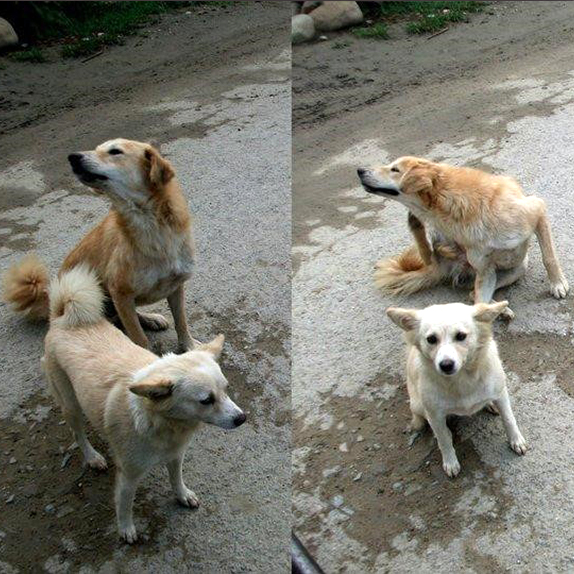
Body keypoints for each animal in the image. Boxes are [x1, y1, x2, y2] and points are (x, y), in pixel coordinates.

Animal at [2, 140, 197, 352]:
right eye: (96, 149)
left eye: (115, 151)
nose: (73, 157)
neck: (153, 226)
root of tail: (50, 298)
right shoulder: (120, 292)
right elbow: (139, 337)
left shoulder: (175, 285)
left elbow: (181, 322)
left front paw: (189, 346)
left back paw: (150, 319)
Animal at [42, 266, 245, 544]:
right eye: (206, 400)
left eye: (226, 389)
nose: (242, 418)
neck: (162, 423)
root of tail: (62, 317)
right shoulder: (128, 476)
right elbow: (124, 505)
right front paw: (126, 529)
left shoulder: (175, 455)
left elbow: (176, 478)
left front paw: (182, 495)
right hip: (71, 404)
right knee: (78, 433)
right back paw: (93, 457)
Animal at [390, 300, 528, 480]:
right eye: (431, 339)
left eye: (461, 336)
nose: (446, 365)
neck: (463, 379)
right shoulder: (434, 414)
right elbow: (443, 439)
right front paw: (450, 462)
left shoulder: (501, 394)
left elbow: (509, 419)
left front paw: (516, 440)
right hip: (418, 405)